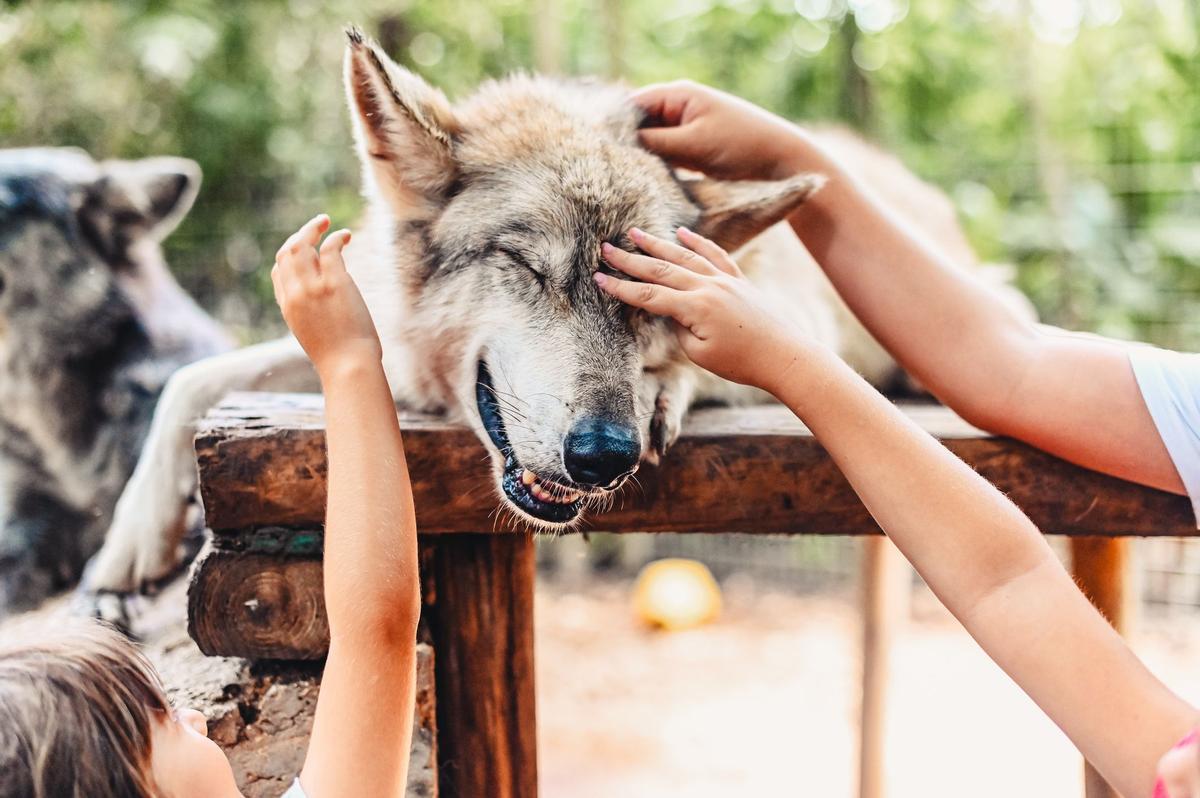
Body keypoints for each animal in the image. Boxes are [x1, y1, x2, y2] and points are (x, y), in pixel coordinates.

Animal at [79, 31, 1032, 600]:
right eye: (528, 266)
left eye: (646, 299)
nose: (603, 455)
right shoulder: (382, 349)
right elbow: (196, 379)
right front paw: (127, 542)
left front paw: (667, 387)